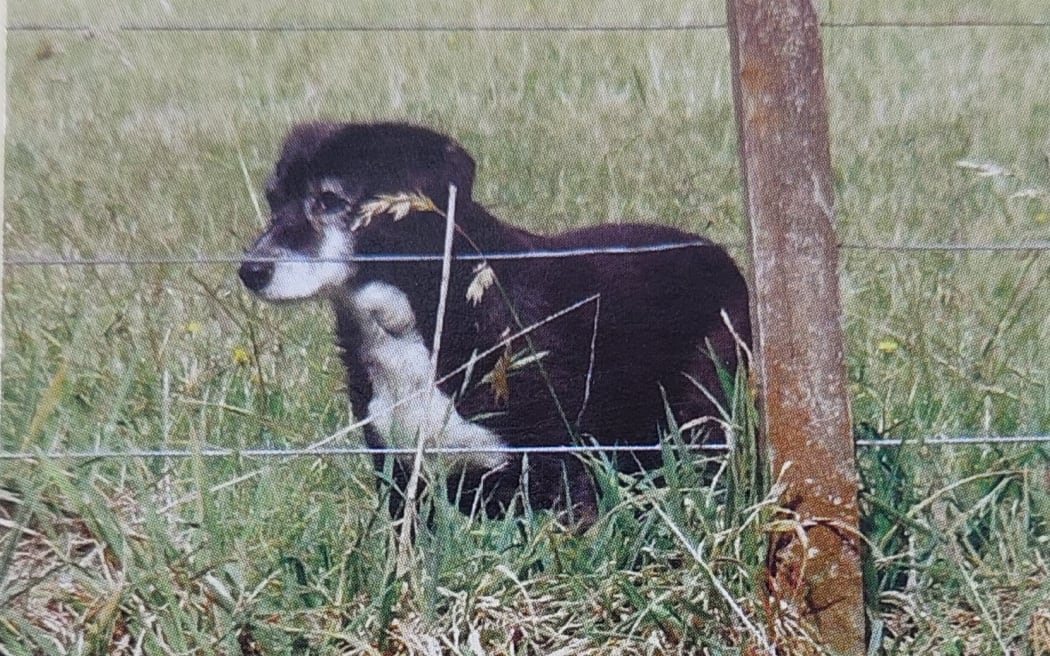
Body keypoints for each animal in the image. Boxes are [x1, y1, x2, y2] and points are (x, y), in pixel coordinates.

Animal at [240, 121, 747, 522]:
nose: (250, 270)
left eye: (328, 200)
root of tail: (722, 257)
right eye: (273, 200)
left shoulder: (562, 472)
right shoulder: (404, 479)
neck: (415, 320)